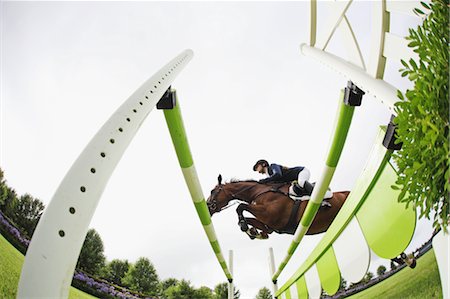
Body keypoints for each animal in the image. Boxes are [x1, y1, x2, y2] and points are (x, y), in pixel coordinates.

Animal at [207, 176, 352, 241]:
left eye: (213, 191)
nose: (208, 206)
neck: (258, 192)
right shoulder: (270, 225)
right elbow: (250, 220)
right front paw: (254, 232)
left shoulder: (270, 214)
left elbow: (240, 206)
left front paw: (246, 228)